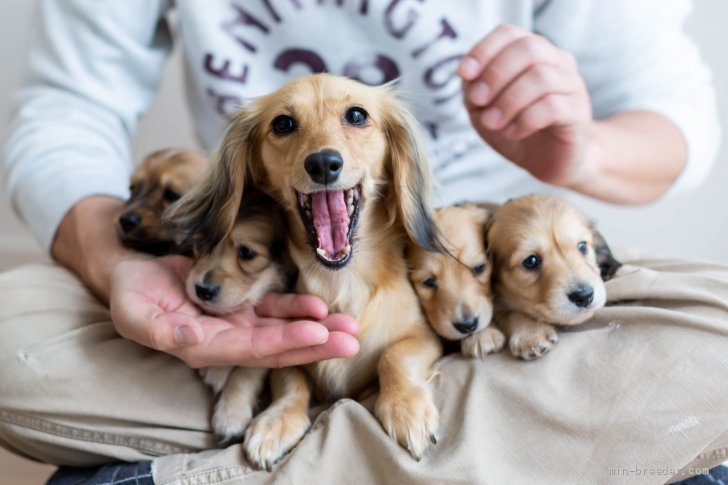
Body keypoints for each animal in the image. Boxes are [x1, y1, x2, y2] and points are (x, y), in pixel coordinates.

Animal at [186, 189, 288, 442]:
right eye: (201, 242)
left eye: (247, 253)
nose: (202, 290)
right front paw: (218, 368)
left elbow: (248, 370)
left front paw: (231, 413)